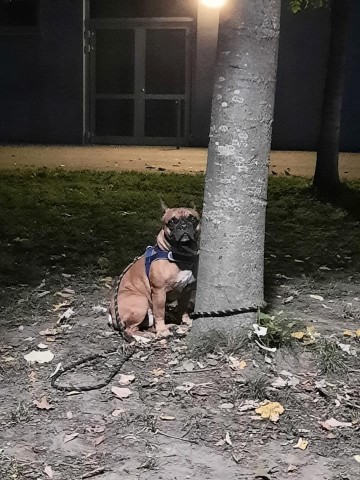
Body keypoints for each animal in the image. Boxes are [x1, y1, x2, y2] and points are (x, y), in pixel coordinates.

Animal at [108, 206, 201, 338]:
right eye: (172, 222)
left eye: (192, 219)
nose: (183, 225)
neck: (180, 255)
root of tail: (111, 312)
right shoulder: (159, 291)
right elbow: (160, 312)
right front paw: (162, 330)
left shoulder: (187, 290)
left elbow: (183, 307)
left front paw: (186, 320)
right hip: (141, 301)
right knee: (130, 329)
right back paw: (147, 335)